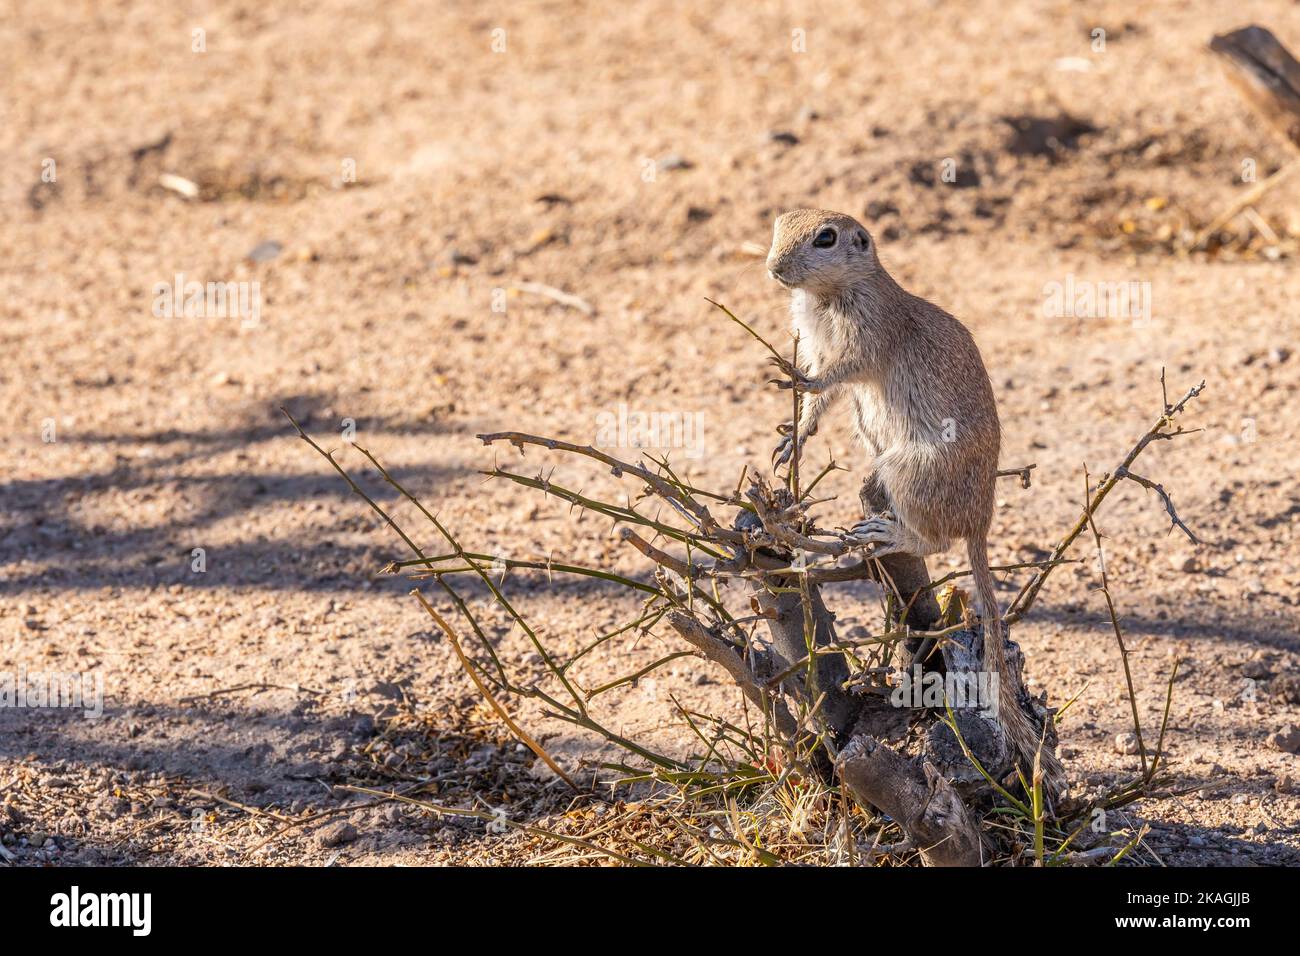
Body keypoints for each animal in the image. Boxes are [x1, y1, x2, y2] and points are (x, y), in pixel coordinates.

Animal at [764, 209, 1060, 790]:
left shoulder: (867, 333)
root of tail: (981, 522)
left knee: (935, 542)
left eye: (826, 238)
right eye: (778, 224)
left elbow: (838, 373)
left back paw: (887, 531)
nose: (773, 267)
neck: (827, 296)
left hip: (906, 469)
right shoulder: (814, 337)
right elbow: (822, 400)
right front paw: (796, 436)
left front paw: (799, 379)